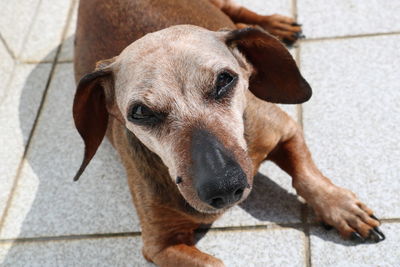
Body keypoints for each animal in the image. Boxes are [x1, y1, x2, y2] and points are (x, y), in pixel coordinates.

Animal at [71, 0, 384, 266]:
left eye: (224, 79)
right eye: (139, 112)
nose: (224, 188)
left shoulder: (284, 129)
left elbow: (306, 175)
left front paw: (340, 206)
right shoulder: (160, 245)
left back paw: (273, 25)